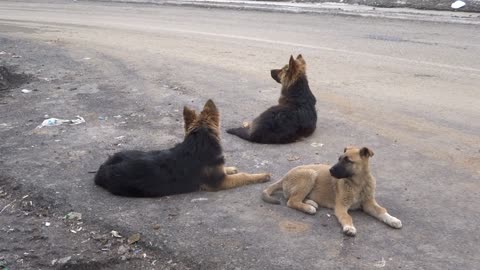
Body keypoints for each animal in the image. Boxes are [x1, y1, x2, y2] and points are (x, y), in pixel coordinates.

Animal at [95, 100, 272, 197]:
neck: (199, 142)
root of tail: (102, 168)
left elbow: (227, 169)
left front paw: (231, 168)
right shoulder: (220, 183)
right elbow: (243, 176)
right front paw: (261, 176)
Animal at [260, 146, 404, 236]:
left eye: (348, 161)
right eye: (339, 159)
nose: (330, 170)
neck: (358, 184)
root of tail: (284, 177)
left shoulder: (368, 203)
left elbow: (381, 211)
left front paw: (393, 220)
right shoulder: (341, 207)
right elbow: (347, 217)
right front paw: (349, 228)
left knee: (295, 198)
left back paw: (311, 203)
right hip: (310, 174)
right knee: (291, 201)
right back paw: (308, 208)